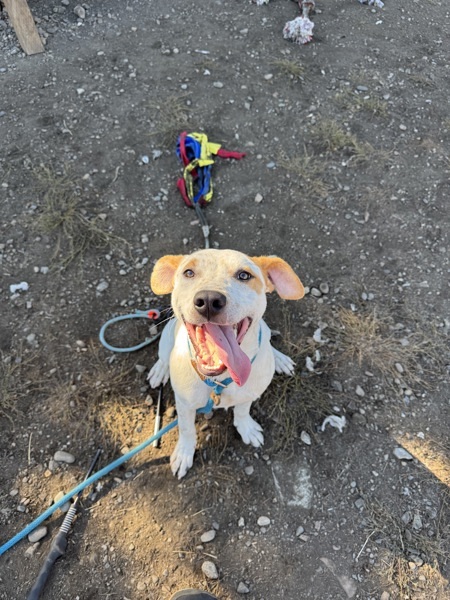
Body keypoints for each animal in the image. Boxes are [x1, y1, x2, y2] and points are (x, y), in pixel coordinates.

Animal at [148, 248, 306, 478]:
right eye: (188, 272)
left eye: (244, 275)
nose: (208, 300)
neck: (220, 381)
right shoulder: (184, 403)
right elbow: (186, 429)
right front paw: (184, 453)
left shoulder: (249, 393)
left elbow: (242, 410)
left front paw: (246, 428)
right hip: (167, 335)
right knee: (162, 355)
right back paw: (160, 370)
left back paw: (279, 359)